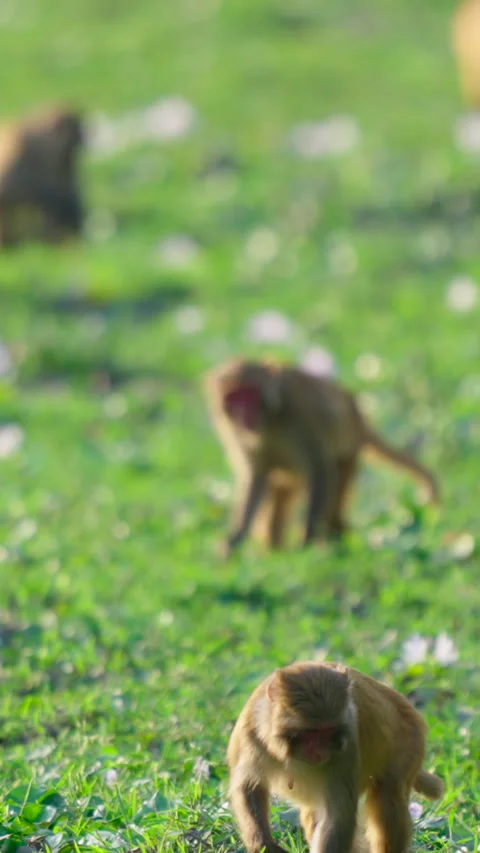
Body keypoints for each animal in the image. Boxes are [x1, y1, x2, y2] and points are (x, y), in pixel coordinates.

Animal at [204, 359, 439, 556]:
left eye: (250, 395)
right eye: (234, 398)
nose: (244, 415)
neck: (271, 417)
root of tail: (356, 411)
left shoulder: (304, 412)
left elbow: (320, 470)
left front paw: (306, 544)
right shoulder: (232, 431)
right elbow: (255, 477)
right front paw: (233, 540)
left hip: (348, 453)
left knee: (334, 500)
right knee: (277, 496)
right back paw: (275, 552)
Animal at [227, 660, 444, 853]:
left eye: (329, 731)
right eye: (311, 732)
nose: (320, 751)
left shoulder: (347, 746)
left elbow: (338, 815)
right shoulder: (252, 735)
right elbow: (248, 787)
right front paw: (262, 844)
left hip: (409, 742)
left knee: (387, 794)